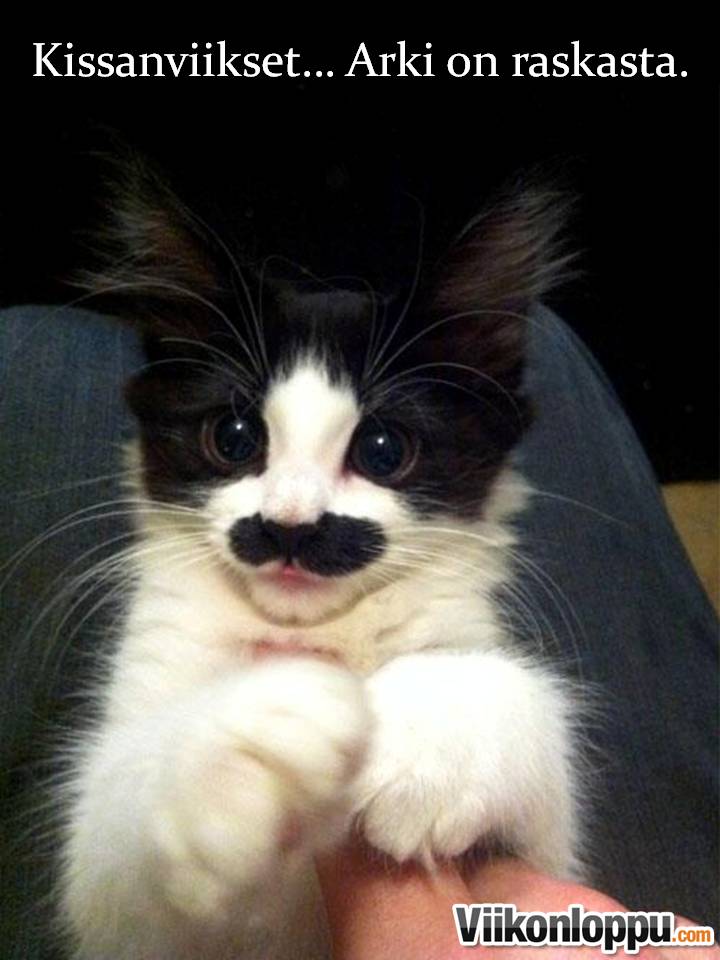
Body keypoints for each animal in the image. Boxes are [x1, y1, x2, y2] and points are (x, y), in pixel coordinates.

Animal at [58, 157, 582, 959]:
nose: (290, 528)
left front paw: (430, 730)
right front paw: (244, 742)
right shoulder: (118, 916)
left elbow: (534, 734)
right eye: (234, 437)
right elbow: (108, 825)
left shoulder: (544, 861)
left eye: (384, 450)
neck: (317, 630)